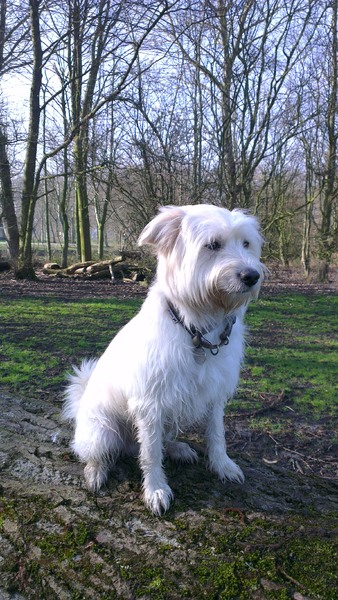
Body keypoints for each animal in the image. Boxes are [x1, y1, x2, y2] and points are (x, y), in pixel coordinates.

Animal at [62, 205, 264, 516]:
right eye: (213, 245)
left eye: (246, 244)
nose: (252, 276)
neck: (197, 331)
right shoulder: (150, 405)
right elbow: (151, 454)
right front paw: (156, 489)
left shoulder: (214, 394)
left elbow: (216, 434)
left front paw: (222, 465)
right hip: (102, 432)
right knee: (101, 453)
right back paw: (96, 471)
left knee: (158, 443)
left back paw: (178, 449)